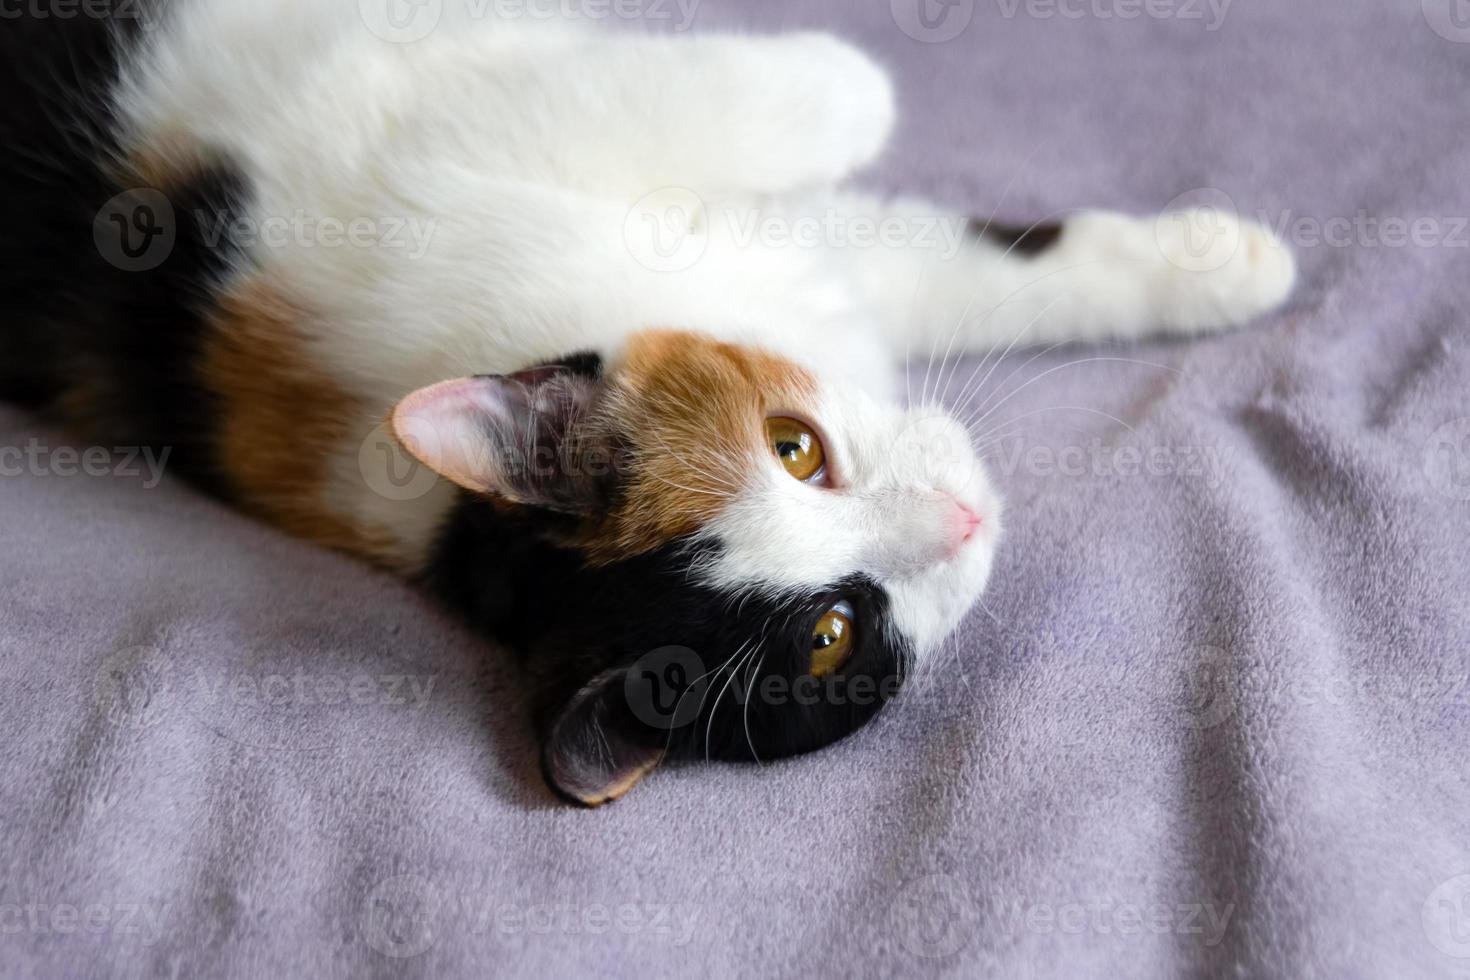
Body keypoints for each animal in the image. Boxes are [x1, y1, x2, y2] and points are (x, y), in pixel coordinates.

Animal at [0, 3, 1287, 811]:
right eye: (832, 635)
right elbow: (829, 113)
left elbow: (978, 263)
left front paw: (1235, 264)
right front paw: (856, 80)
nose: (962, 522)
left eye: (794, 446)